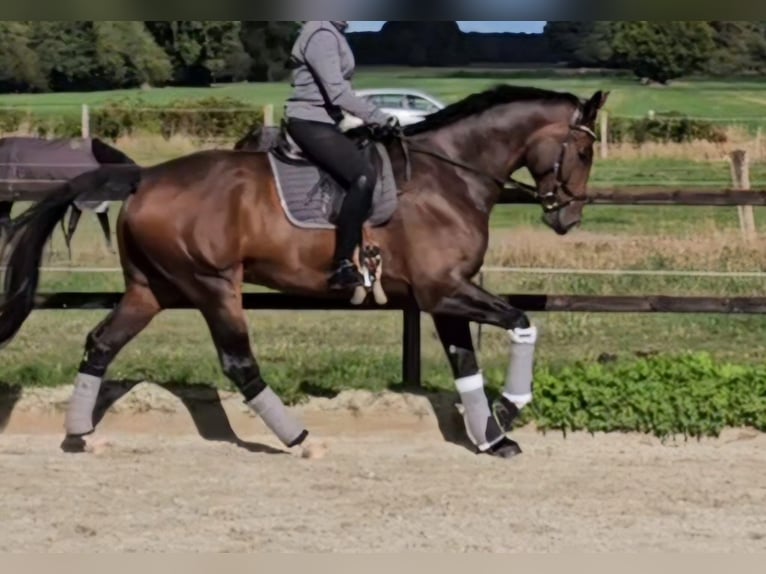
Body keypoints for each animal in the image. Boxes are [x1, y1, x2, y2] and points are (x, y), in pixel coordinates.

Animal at [0, 85, 612, 462]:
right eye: (583, 152)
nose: (568, 217)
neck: (448, 177)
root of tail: (145, 178)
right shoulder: (445, 290)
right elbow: (521, 321)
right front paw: (508, 411)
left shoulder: (442, 297)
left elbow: (467, 365)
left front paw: (490, 438)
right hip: (213, 286)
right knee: (239, 363)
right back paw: (299, 439)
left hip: (152, 289)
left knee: (101, 343)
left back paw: (79, 434)